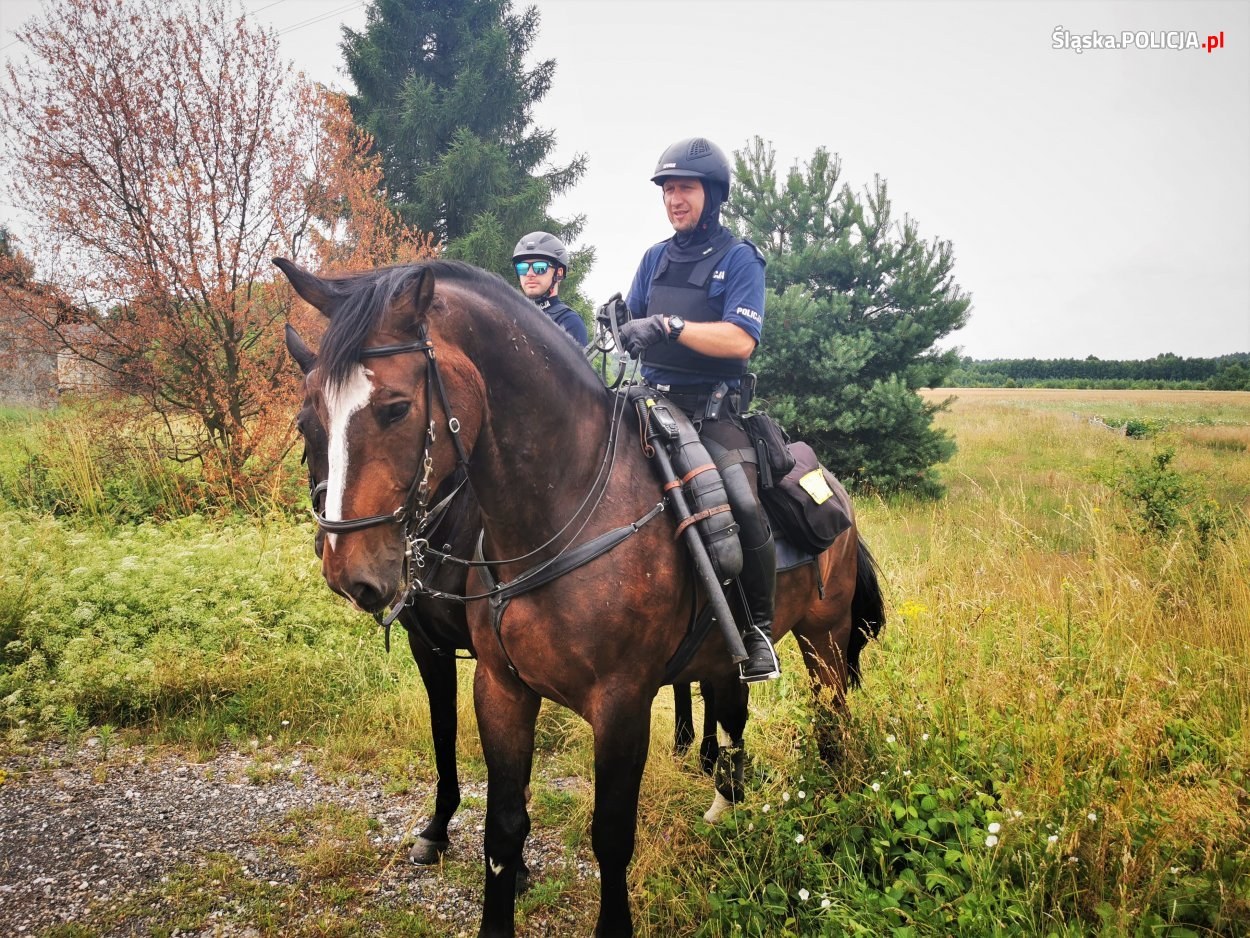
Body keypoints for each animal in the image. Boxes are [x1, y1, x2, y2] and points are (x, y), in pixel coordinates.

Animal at [273, 258, 885, 938]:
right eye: (307, 424)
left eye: (396, 408)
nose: (348, 570)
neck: (563, 510)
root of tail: (832, 486)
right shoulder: (496, 686)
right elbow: (499, 820)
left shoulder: (621, 706)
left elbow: (611, 835)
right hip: (730, 656)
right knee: (733, 714)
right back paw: (728, 804)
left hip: (824, 640)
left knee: (831, 721)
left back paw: (829, 805)